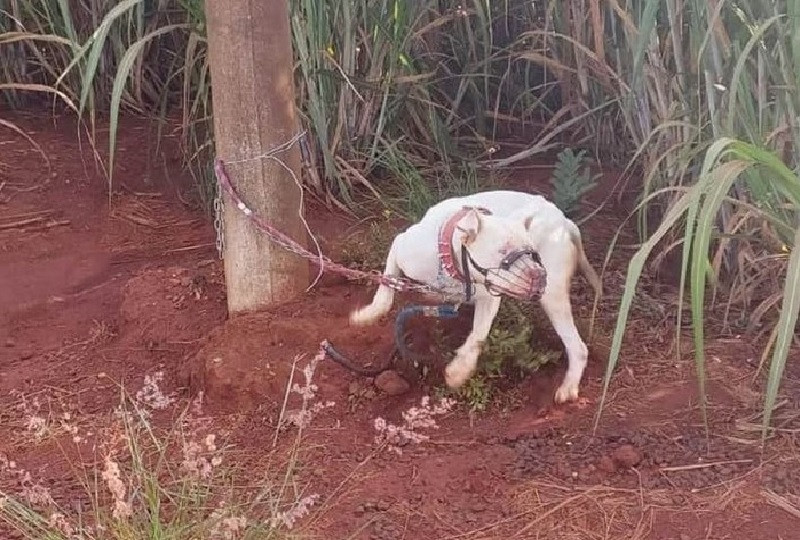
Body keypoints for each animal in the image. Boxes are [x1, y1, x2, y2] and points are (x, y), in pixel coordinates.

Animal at [350, 191, 600, 404]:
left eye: (532, 252)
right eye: (502, 251)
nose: (539, 274)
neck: (453, 263)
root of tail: (565, 221)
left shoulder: (490, 298)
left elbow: (478, 335)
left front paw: (459, 370)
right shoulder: (400, 245)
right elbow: (386, 287)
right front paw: (367, 315)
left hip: (553, 297)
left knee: (577, 347)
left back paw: (568, 386)